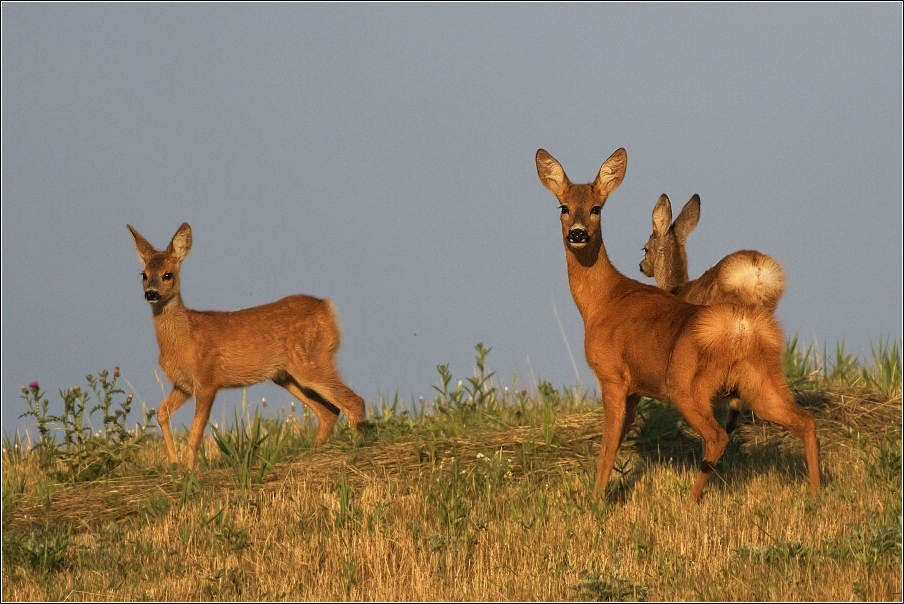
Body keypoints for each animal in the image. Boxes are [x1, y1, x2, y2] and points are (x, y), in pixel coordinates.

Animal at [127, 223, 368, 472]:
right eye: (144, 275)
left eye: (168, 275)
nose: (151, 293)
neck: (183, 337)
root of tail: (327, 308)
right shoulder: (183, 384)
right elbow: (161, 413)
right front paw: (174, 464)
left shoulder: (207, 380)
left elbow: (195, 433)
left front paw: (190, 471)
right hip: (286, 376)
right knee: (329, 412)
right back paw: (314, 453)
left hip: (309, 361)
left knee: (354, 402)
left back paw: (355, 450)